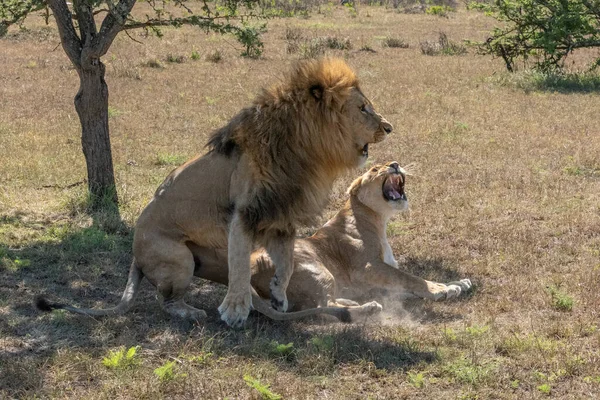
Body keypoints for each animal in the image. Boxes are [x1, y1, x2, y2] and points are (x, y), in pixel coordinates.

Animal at [37, 57, 394, 326]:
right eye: (363, 108)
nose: (389, 127)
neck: (305, 151)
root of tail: (135, 258)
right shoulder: (243, 214)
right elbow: (240, 266)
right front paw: (235, 310)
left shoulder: (279, 216)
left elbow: (287, 262)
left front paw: (279, 294)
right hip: (178, 257)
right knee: (165, 300)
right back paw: (191, 311)